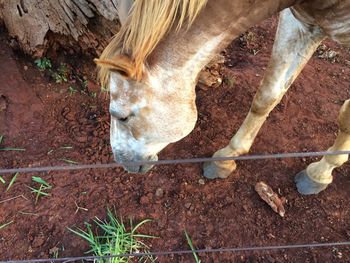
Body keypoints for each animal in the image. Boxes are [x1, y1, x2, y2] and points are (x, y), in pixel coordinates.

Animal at [94, 0, 348, 196]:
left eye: (122, 117)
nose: (122, 161)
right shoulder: (300, 24)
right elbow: (267, 96)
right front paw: (225, 159)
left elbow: (345, 117)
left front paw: (320, 173)